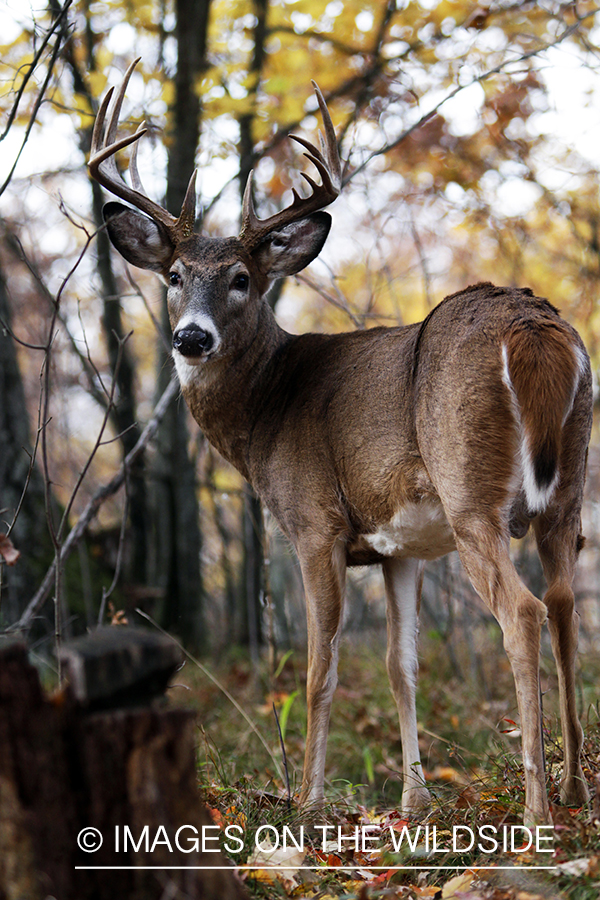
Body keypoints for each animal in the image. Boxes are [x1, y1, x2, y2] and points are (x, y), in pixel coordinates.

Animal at [89, 59, 592, 828]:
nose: (191, 337)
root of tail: (532, 325)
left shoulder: (313, 523)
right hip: (565, 491)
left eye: (242, 279)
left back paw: (536, 811)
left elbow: (318, 669)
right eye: (173, 276)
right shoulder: (399, 547)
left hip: (472, 492)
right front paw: (415, 801)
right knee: (566, 605)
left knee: (524, 611)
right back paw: (573, 790)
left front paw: (307, 800)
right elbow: (399, 666)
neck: (264, 410)